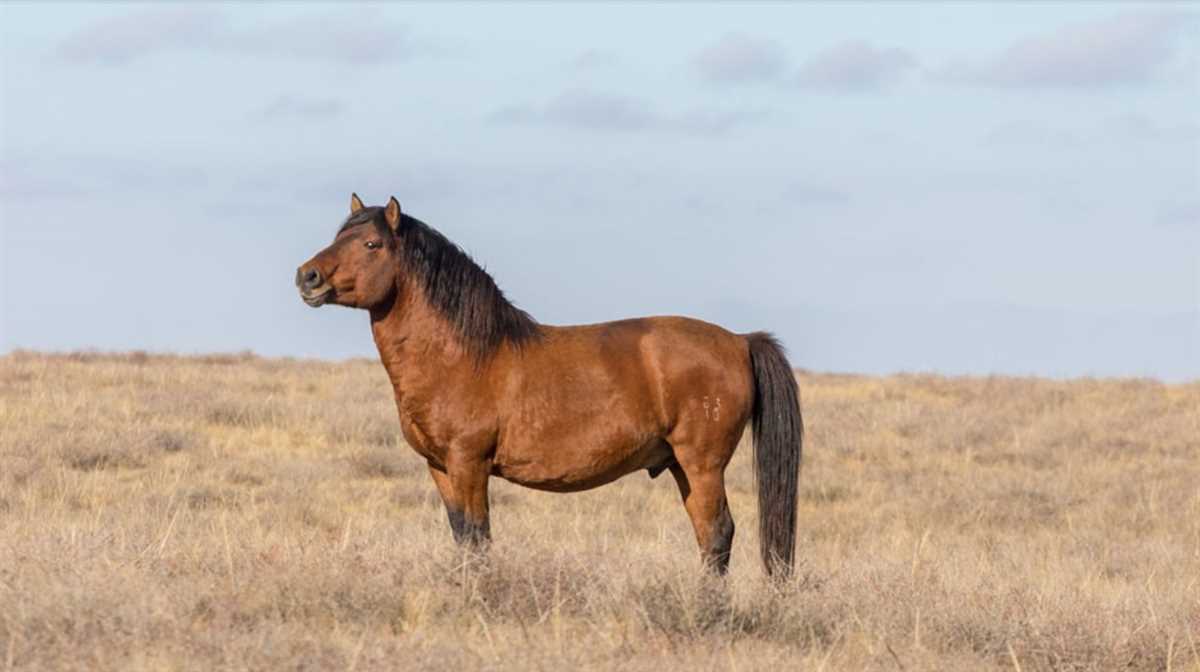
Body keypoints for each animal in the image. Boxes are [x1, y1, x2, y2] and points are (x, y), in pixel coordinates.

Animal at [294, 194, 801, 578]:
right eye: (338, 236)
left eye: (372, 243)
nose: (307, 277)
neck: (463, 354)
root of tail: (739, 340)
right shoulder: (440, 468)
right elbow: (462, 538)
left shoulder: (469, 465)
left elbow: (478, 539)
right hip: (681, 466)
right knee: (707, 535)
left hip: (702, 465)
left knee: (717, 534)